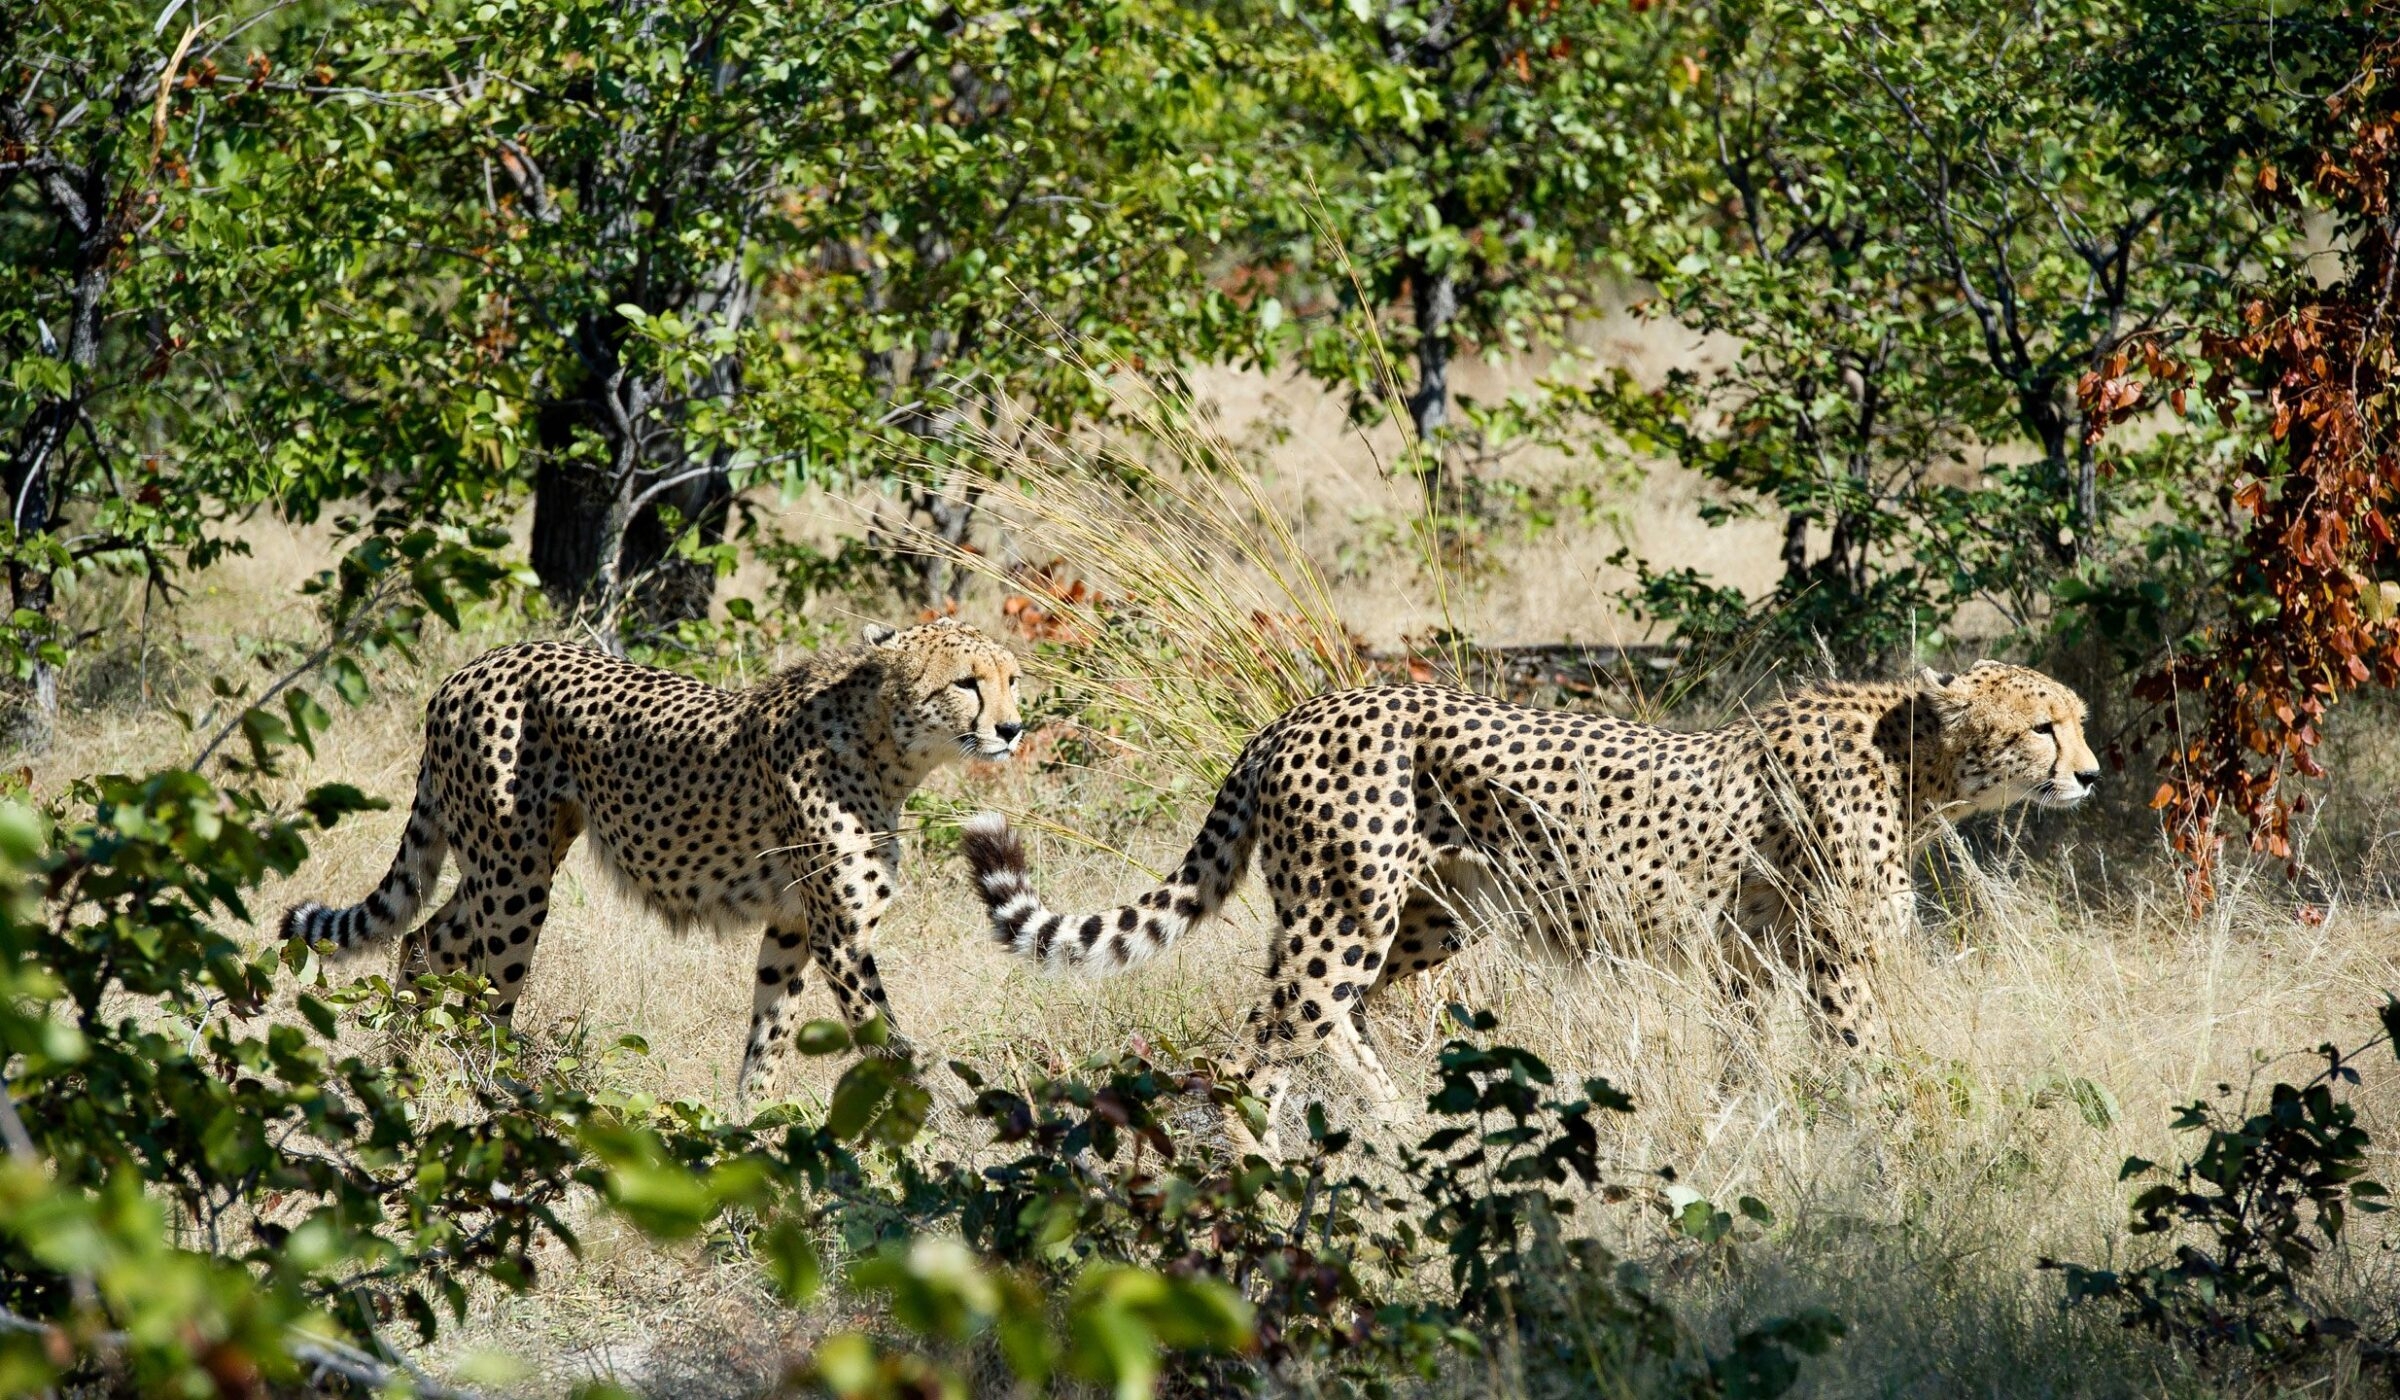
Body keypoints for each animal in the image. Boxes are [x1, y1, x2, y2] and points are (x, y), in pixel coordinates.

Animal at [280, 617, 1024, 1106]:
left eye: (1013, 680)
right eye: (967, 684)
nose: (1013, 728)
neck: (884, 744)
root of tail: (468, 669)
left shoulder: (793, 927)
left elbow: (769, 1034)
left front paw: (751, 1128)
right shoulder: (840, 936)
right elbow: (888, 1045)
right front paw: (927, 1134)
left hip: (507, 861)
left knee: (422, 939)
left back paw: (401, 1069)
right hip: (515, 876)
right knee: (487, 992)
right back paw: (498, 1094)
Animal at [961, 660, 2098, 1153]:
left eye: (2076, 720)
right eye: (2045, 725)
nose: (2090, 772)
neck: (1916, 759)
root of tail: (1294, 713)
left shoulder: (1752, 955)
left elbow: (1745, 1058)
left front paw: (1733, 1133)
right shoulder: (1835, 957)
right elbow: (1868, 1057)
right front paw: (1909, 1141)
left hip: (1422, 915)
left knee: (1330, 1022)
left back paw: (1392, 1126)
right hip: (1347, 911)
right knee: (1269, 1035)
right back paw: (1258, 1165)